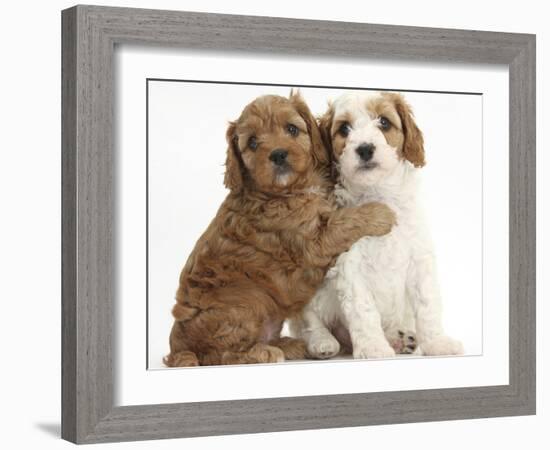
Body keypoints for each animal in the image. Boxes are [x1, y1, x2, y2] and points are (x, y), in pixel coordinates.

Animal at [294, 91, 466, 358]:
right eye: (344, 129)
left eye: (384, 122)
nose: (365, 148)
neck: (379, 195)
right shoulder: (350, 266)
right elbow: (363, 310)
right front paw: (373, 347)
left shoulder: (419, 259)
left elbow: (427, 303)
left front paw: (437, 342)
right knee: (308, 320)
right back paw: (322, 342)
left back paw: (400, 340)